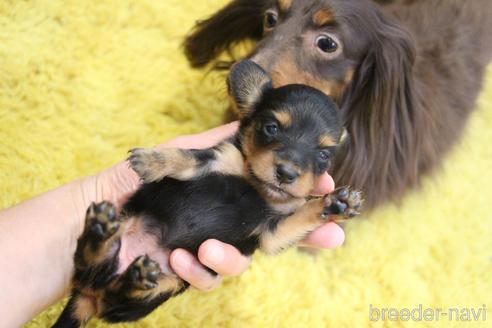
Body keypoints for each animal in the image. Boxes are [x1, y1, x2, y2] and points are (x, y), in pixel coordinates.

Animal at [52, 60, 362, 326]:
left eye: (324, 155)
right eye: (271, 127)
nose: (286, 173)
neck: (254, 185)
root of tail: (88, 294)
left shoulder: (273, 232)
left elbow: (303, 213)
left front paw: (337, 203)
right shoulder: (216, 158)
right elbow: (185, 157)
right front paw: (152, 161)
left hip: (165, 285)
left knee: (118, 294)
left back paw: (133, 272)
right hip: (122, 235)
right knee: (88, 265)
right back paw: (101, 231)